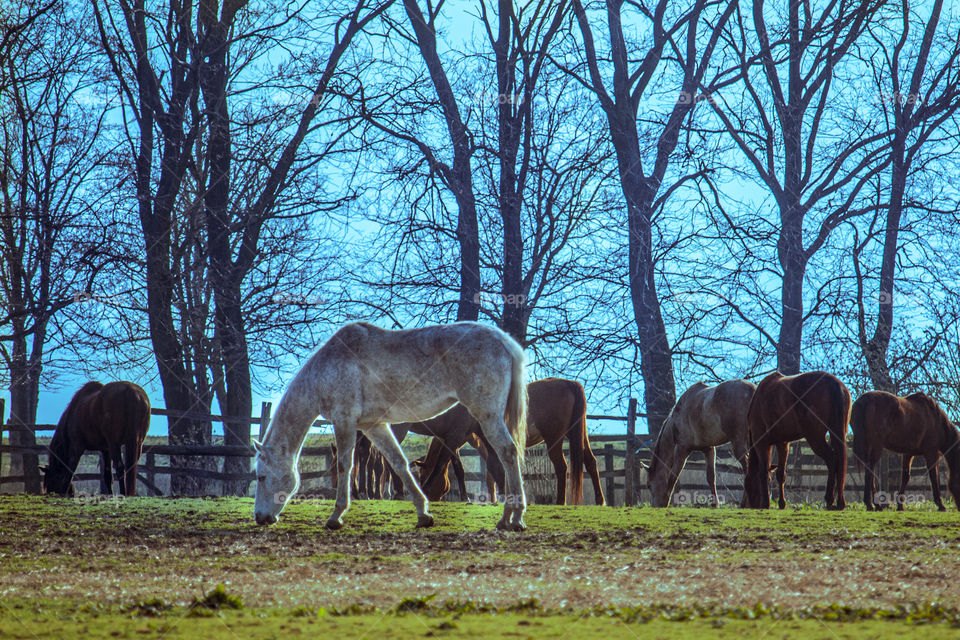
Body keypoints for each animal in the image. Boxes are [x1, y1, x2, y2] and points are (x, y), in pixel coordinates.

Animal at [251, 322, 528, 532]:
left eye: (261, 476)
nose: (260, 518)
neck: (325, 370)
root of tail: (503, 340)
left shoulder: (344, 421)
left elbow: (345, 466)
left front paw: (336, 516)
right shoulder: (374, 425)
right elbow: (398, 463)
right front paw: (423, 513)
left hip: (487, 416)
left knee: (507, 453)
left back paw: (512, 517)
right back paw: (509, 517)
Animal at [416, 378, 604, 508]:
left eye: (422, 475)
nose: (431, 497)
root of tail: (569, 383)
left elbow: (485, 472)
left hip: (554, 439)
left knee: (561, 467)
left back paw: (560, 501)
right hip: (576, 436)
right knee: (591, 462)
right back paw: (600, 500)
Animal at [648, 378, 760, 508]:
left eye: (649, 486)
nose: (655, 506)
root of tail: (752, 390)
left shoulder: (682, 449)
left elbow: (673, 477)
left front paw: (666, 501)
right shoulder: (709, 449)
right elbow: (711, 477)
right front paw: (715, 504)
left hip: (739, 443)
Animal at [744, 370, 848, 510]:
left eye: (748, 486)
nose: (751, 505)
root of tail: (834, 384)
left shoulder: (761, 444)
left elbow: (763, 472)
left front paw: (766, 503)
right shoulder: (782, 443)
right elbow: (781, 474)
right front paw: (782, 503)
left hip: (815, 437)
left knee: (831, 459)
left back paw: (830, 498)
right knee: (838, 461)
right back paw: (839, 500)